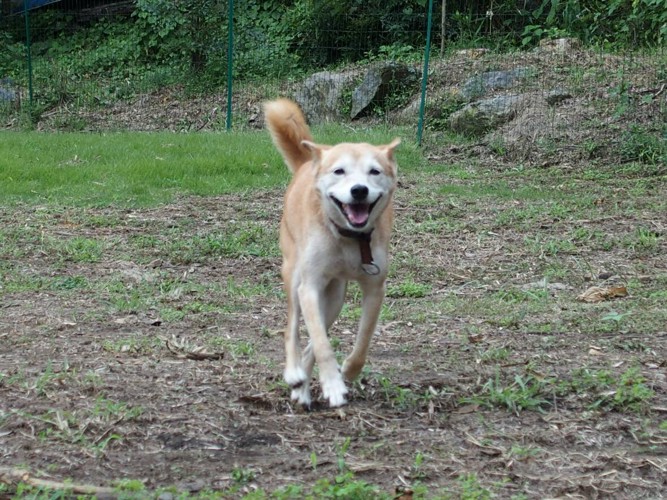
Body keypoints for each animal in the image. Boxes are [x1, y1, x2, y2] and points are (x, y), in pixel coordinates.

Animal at [264, 99, 402, 408]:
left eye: (374, 171)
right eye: (339, 171)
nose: (359, 190)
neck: (349, 238)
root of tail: (308, 163)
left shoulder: (374, 288)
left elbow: (362, 338)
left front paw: (347, 372)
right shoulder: (310, 287)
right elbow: (321, 343)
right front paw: (332, 385)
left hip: (336, 296)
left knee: (312, 342)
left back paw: (302, 387)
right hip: (294, 277)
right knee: (292, 330)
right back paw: (294, 373)